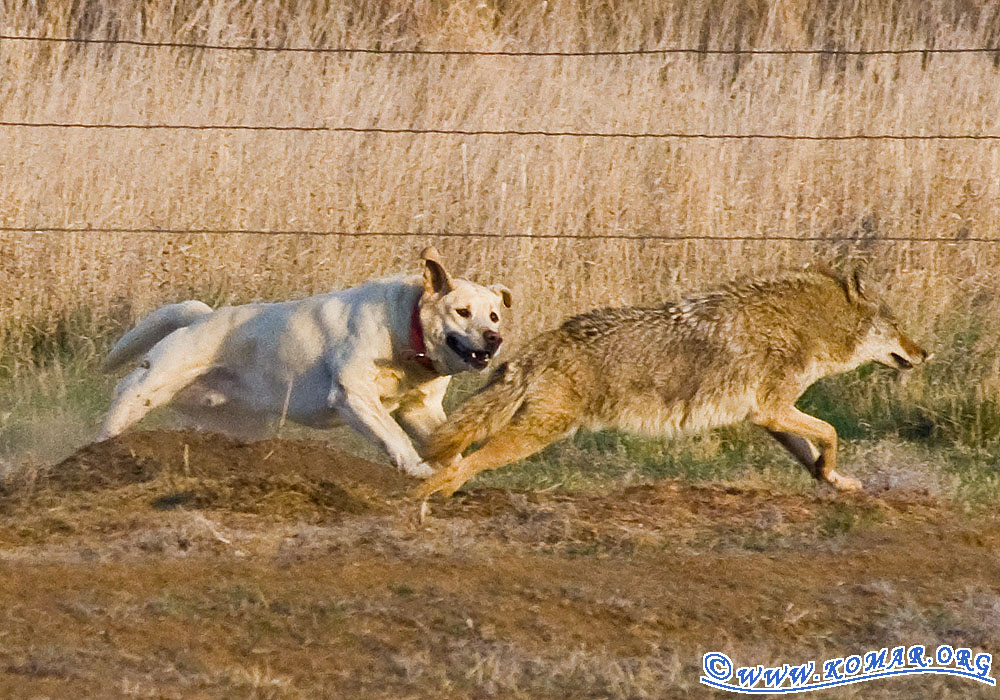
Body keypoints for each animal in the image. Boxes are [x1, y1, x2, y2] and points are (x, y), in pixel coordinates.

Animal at [97, 246, 512, 476]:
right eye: (462, 311)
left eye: (494, 316)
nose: (495, 339)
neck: (405, 331)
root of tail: (202, 316)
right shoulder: (354, 395)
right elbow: (393, 437)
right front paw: (417, 470)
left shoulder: (420, 409)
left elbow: (450, 446)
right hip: (149, 385)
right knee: (120, 399)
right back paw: (100, 453)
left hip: (237, 421)